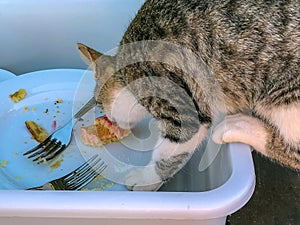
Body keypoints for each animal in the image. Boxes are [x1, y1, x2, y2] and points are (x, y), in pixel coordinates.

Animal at [78, 0, 300, 192]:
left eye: (99, 103)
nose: (108, 118)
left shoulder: (182, 106)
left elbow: (168, 152)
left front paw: (146, 179)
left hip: (287, 98)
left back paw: (239, 126)